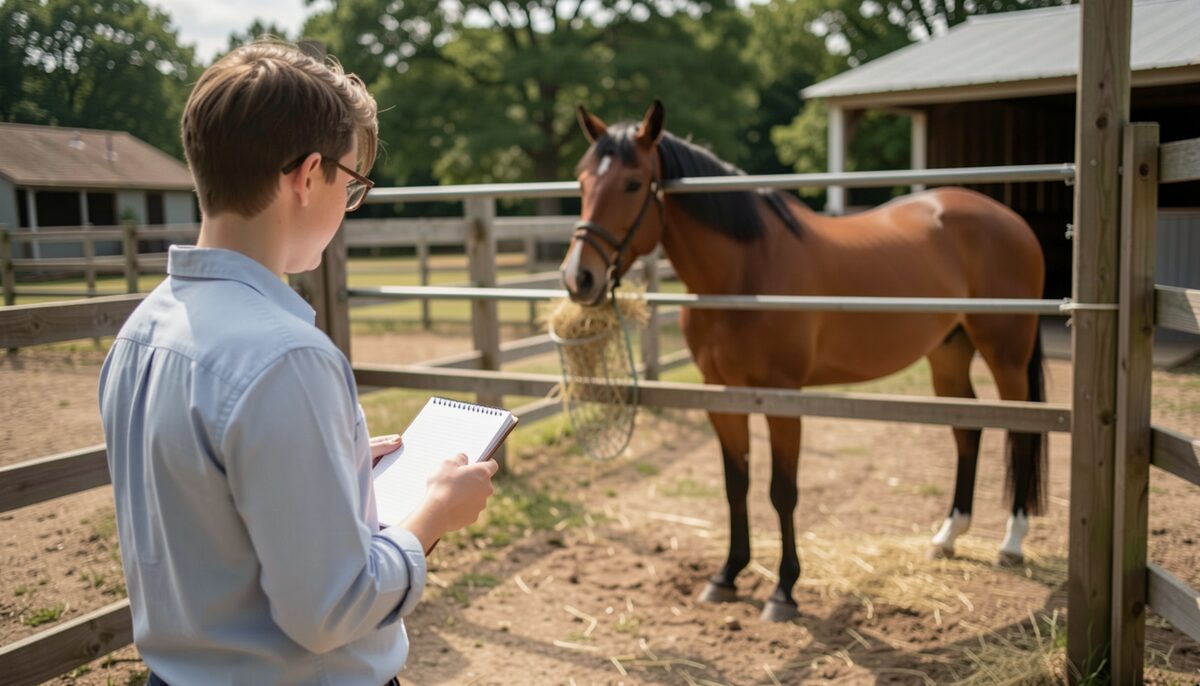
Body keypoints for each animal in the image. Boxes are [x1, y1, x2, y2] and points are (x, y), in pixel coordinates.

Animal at [560, 101, 1048, 622]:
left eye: (633, 183)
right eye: (581, 181)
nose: (578, 278)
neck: (745, 274)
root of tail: (1011, 221)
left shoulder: (783, 398)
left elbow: (782, 491)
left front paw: (783, 590)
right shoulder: (723, 396)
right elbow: (736, 484)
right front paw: (727, 574)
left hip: (1006, 356)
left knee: (1022, 433)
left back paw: (1012, 543)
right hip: (949, 354)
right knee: (967, 430)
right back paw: (948, 536)